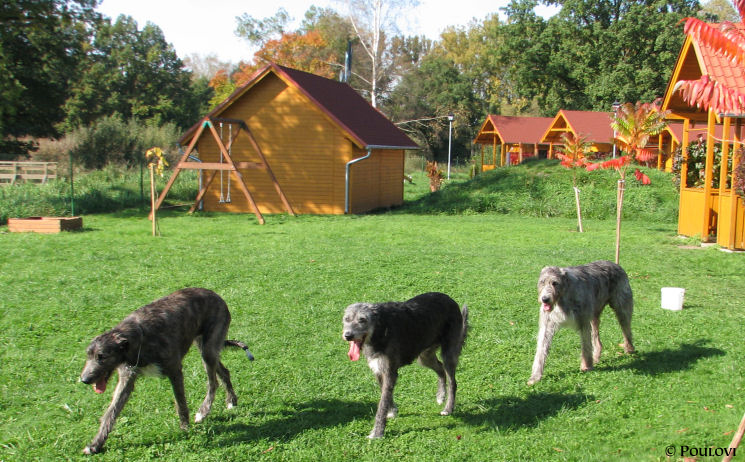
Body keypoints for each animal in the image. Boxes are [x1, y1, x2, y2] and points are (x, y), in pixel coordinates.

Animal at [79, 288, 253, 454]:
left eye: (102, 356)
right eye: (88, 355)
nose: (84, 379)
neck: (137, 338)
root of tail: (217, 296)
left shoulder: (174, 370)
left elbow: (180, 402)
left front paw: (185, 429)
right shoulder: (127, 377)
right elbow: (111, 412)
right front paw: (95, 444)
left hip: (209, 347)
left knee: (213, 382)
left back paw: (203, 411)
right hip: (204, 345)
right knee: (224, 371)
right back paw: (231, 400)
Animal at [342, 292, 468, 440]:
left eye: (362, 320)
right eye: (347, 319)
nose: (348, 335)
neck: (381, 329)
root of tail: (450, 299)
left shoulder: (390, 372)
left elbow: (382, 403)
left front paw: (377, 432)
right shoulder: (378, 370)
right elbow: (385, 395)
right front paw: (392, 411)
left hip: (448, 354)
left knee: (452, 382)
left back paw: (448, 408)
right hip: (424, 357)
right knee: (440, 368)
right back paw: (440, 395)